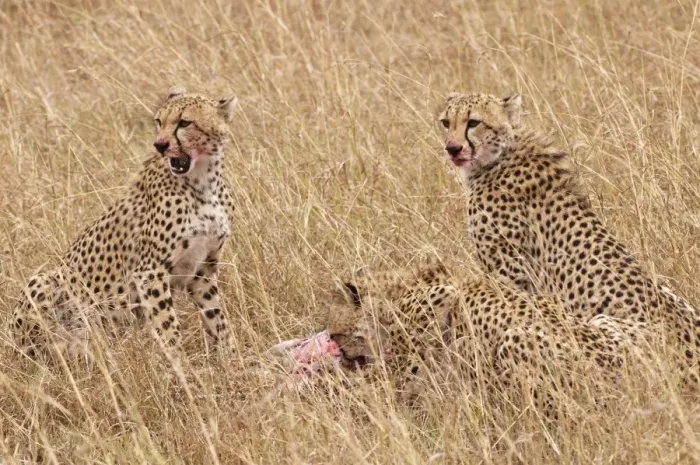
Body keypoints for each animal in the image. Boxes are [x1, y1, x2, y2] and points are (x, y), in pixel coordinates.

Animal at [9, 86, 238, 360]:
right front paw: (180, 364)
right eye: (159, 121)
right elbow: (168, 326)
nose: (160, 145)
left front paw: (230, 359)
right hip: (45, 281)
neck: (203, 181)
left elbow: (217, 319)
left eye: (185, 122)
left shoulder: (203, 269)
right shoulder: (150, 272)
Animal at [325, 256, 651, 418]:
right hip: (605, 320)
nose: (343, 355)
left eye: (337, 334)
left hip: (513, 341)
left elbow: (405, 367)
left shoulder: (439, 302)